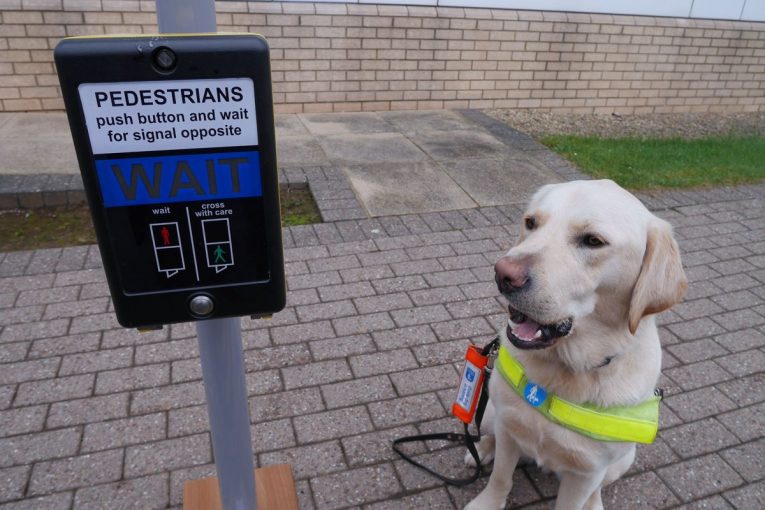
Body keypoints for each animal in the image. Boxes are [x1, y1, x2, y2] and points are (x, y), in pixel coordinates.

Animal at [466, 180, 688, 510]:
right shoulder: (509, 427)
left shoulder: (587, 472)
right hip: (493, 411)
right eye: (531, 222)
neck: (565, 368)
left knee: (599, 487)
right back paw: (480, 450)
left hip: (623, 460)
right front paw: (487, 503)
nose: (503, 274)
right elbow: (501, 477)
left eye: (593, 241)